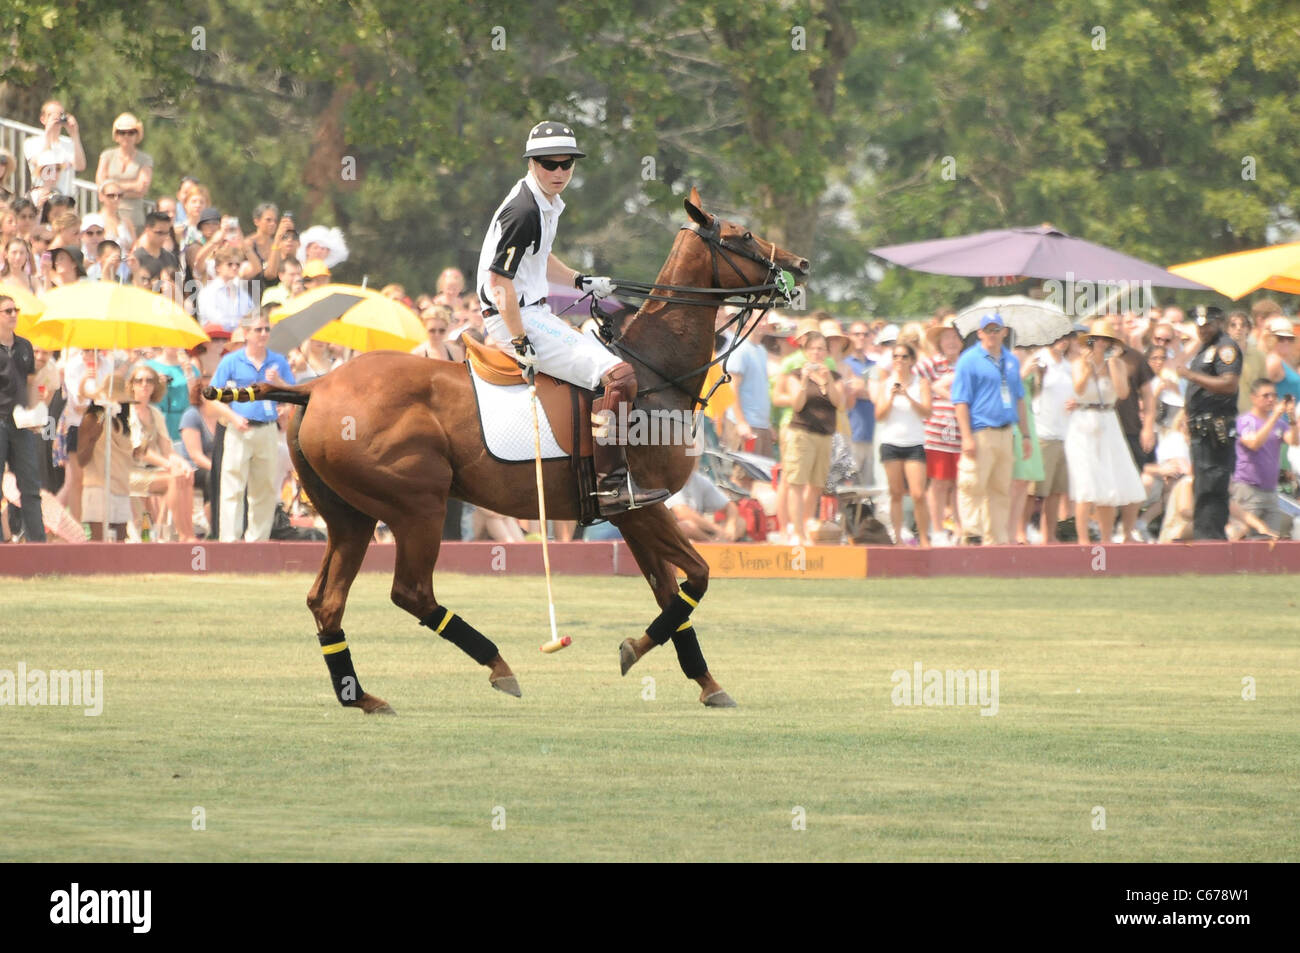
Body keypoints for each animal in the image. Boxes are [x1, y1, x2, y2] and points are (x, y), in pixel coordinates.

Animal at [211, 189, 800, 712]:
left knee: (326, 600)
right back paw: (497, 665)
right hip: (417, 504)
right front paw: (637, 649)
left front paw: (703, 681)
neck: (656, 369)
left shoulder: (634, 513)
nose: (800, 265)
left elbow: (669, 593)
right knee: (411, 592)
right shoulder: (640, 504)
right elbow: (696, 578)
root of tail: (314, 386)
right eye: (742, 235)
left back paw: (361, 697)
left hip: (349, 515)